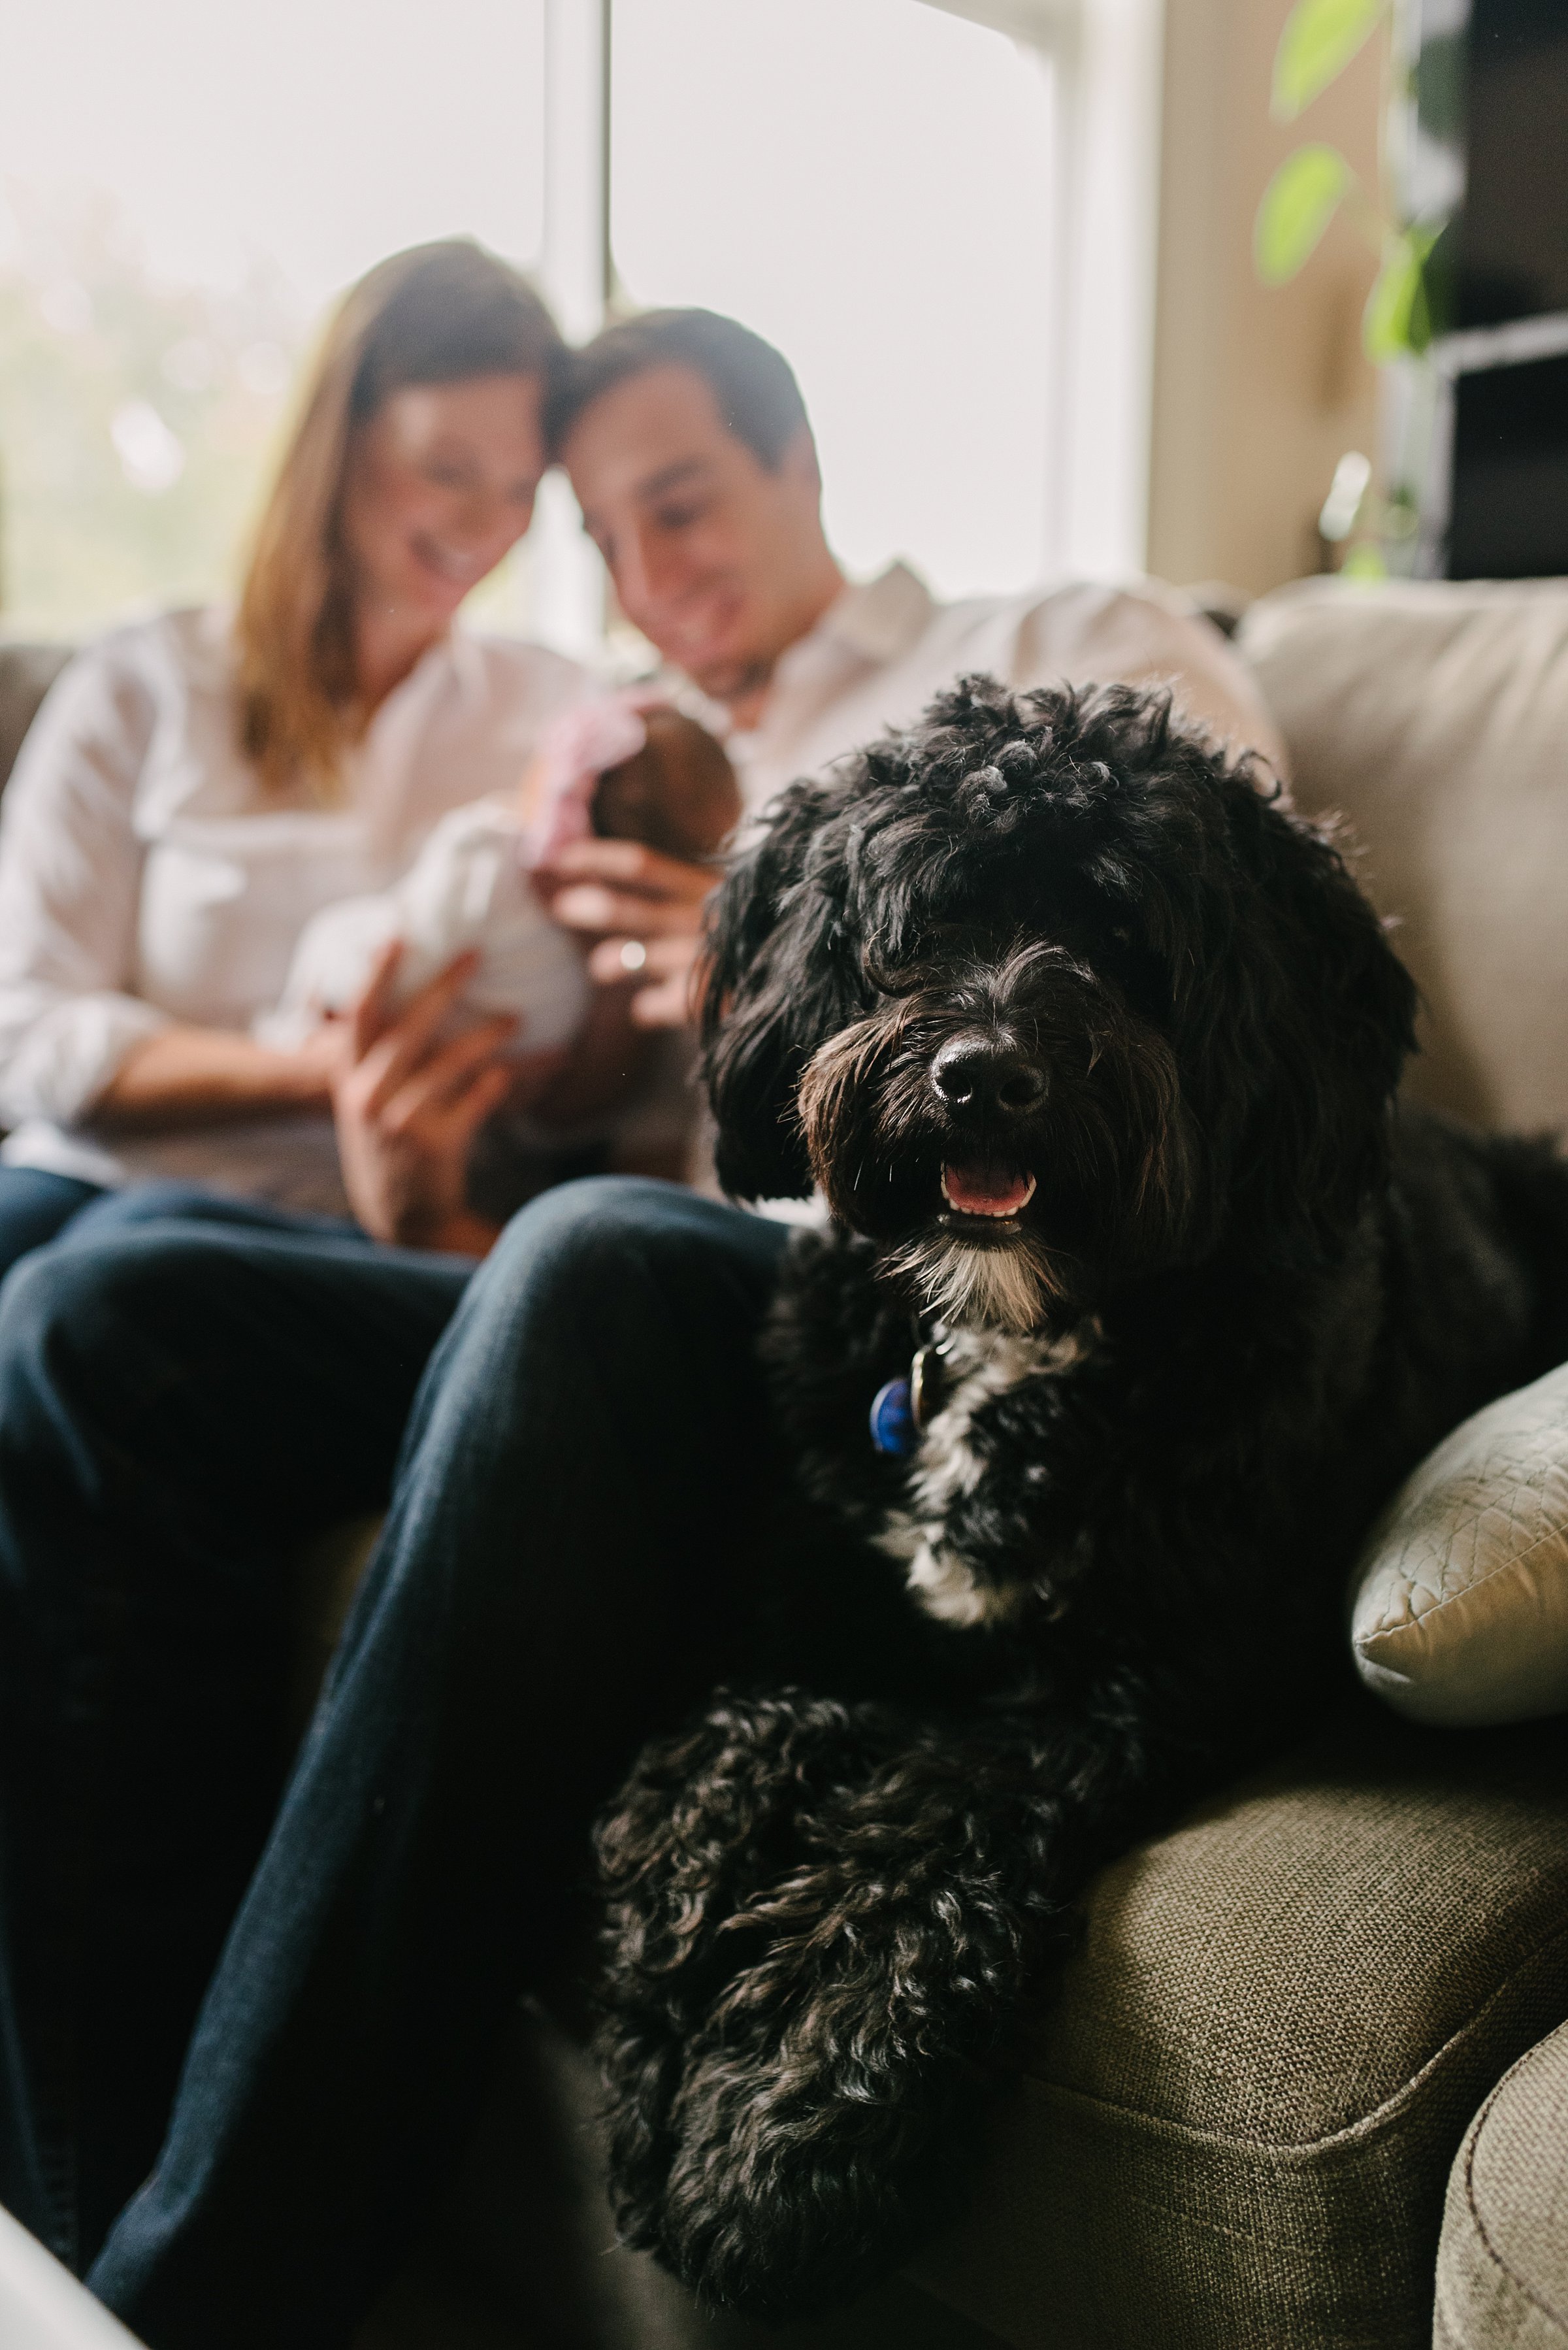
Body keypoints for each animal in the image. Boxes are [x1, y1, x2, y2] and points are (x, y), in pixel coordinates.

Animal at [587, 672, 1568, 2321]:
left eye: (1121, 935)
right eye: (921, 917)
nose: (984, 1070)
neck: (1014, 1329)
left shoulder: (1125, 1690)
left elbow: (923, 1829)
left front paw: (775, 2117)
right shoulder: (810, 1597)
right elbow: (736, 1728)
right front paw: (671, 1944)